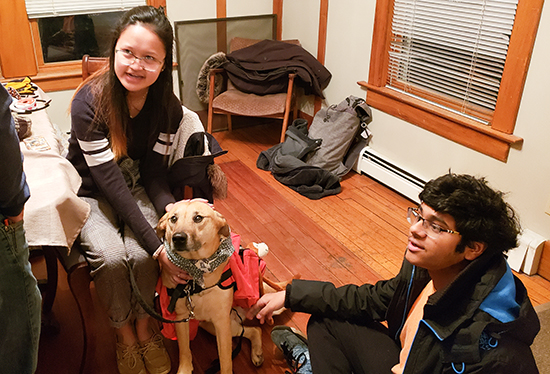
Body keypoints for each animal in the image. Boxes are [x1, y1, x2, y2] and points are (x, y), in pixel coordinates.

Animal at [156, 200, 266, 374]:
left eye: (198, 218)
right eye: (173, 218)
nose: (178, 238)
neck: (196, 278)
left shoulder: (221, 322)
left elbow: (226, 360)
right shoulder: (181, 319)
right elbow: (184, 349)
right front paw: (185, 369)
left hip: (223, 325)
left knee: (254, 329)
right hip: (211, 326)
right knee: (252, 330)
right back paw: (257, 353)